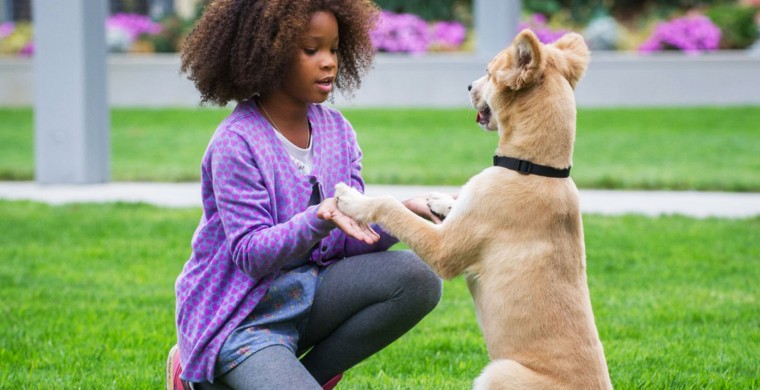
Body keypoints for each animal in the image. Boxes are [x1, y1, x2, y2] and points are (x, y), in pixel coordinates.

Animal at [336, 30, 608, 390]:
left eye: (490, 74)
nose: (467, 86)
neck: (534, 169)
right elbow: (451, 207)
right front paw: (440, 200)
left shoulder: (444, 250)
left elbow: (391, 206)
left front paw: (355, 200)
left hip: (497, 372)